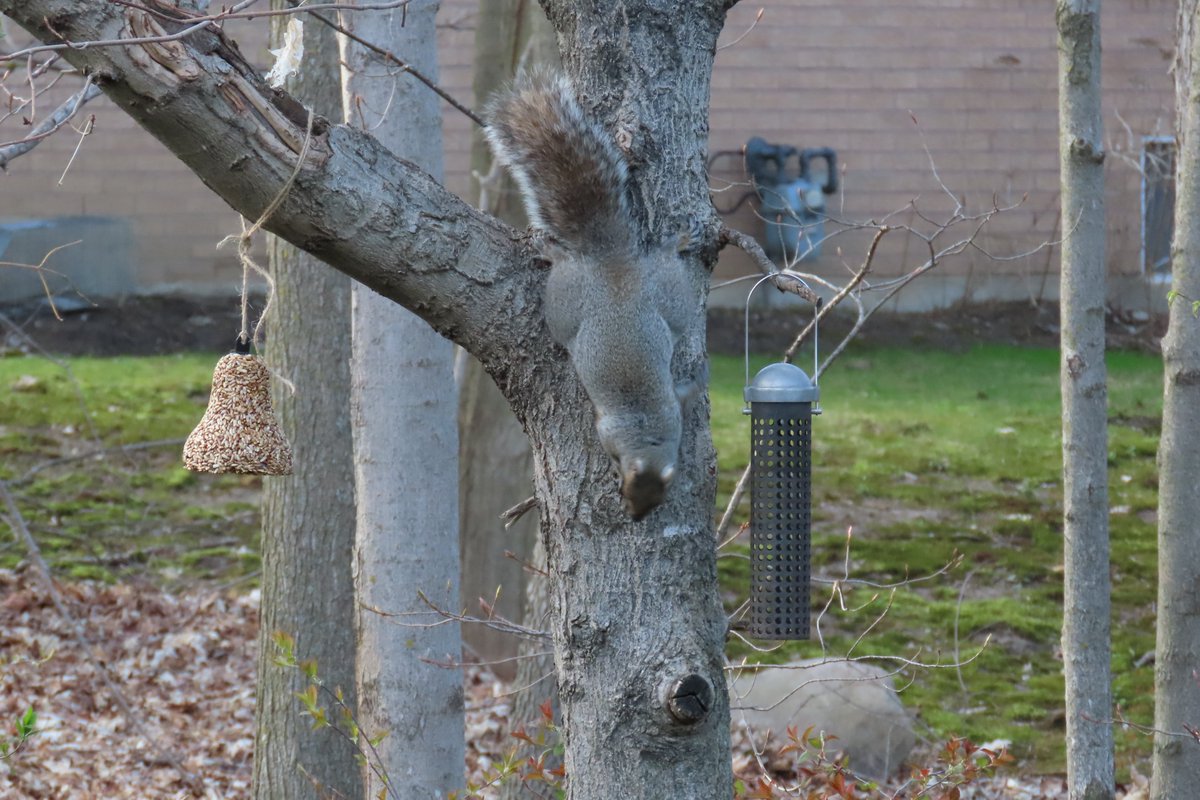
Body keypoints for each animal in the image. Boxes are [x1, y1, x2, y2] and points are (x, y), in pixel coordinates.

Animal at [485, 71, 699, 520]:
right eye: (627, 489)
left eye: (658, 498)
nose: (635, 518)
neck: (647, 431)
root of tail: (611, 259)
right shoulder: (611, 432)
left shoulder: (673, 413)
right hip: (579, 299)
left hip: (660, 291)